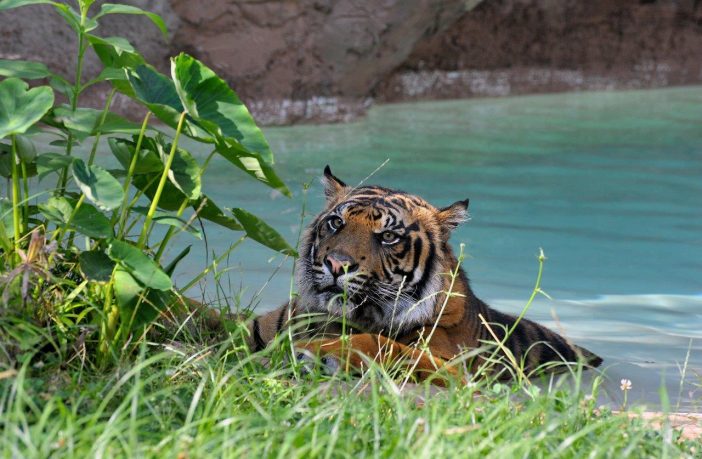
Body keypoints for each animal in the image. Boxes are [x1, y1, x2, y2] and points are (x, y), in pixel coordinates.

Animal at [245, 166, 604, 384]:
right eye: (336, 223)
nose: (336, 264)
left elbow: (380, 344)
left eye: (388, 237)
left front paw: (316, 352)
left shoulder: (452, 368)